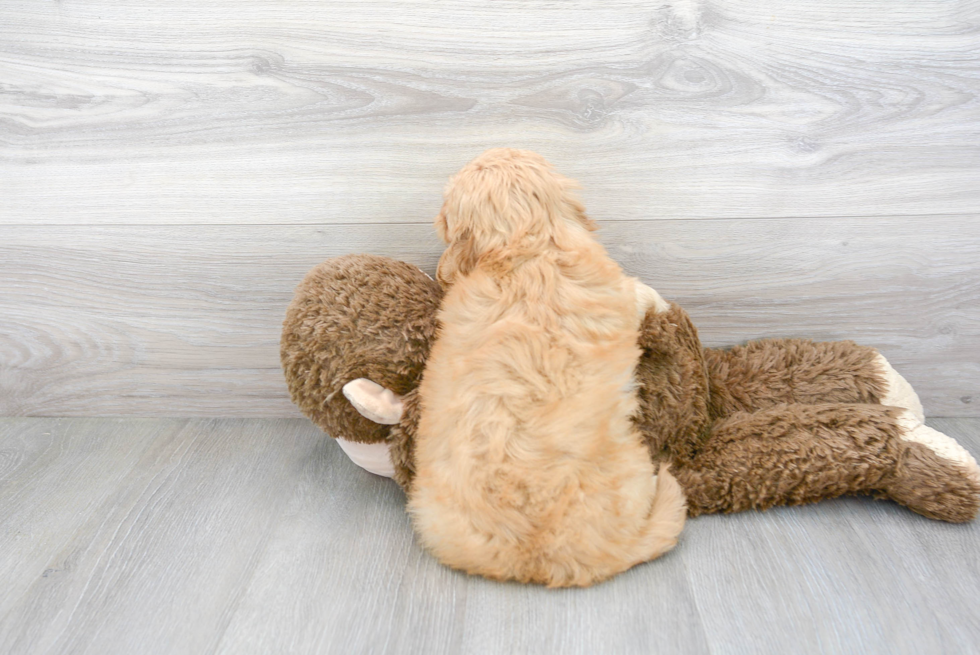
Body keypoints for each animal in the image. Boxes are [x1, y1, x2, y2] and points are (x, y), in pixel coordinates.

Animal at [410, 150, 684, 588]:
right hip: (635, 465)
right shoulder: (621, 292)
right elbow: (641, 292)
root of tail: (539, 561)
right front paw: (661, 304)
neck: (525, 249)